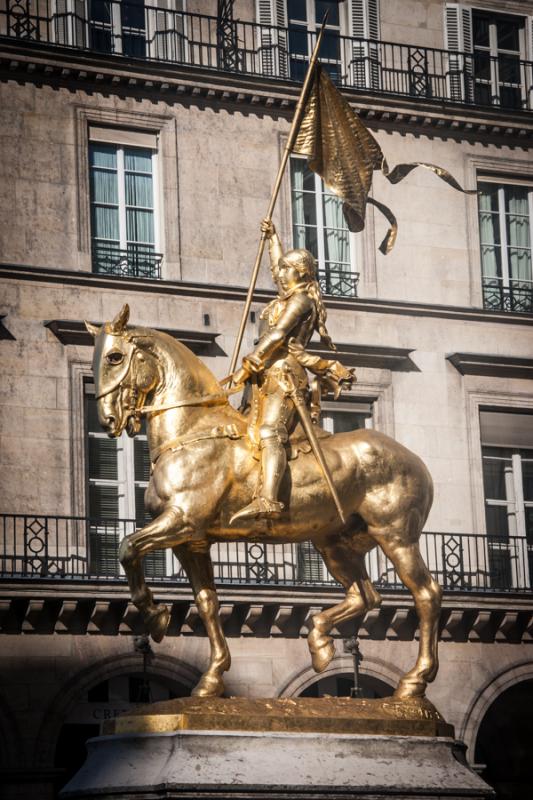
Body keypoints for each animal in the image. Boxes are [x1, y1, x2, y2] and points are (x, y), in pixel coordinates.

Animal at [85, 306, 438, 700]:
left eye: (115, 357)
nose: (108, 420)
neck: (192, 430)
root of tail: (415, 459)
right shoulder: (191, 541)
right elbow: (207, 602)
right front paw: (211, 676)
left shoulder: (181, 521)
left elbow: (128, 547)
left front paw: (155, 615)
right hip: (333, 542)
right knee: (366, 596)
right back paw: (320, 643)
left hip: (394, 535)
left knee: (426, 593)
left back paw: (414, 680)